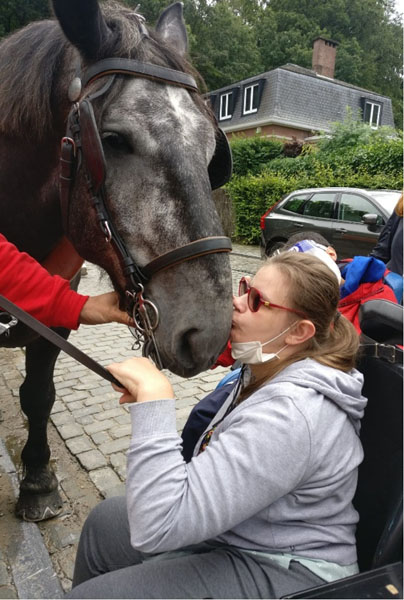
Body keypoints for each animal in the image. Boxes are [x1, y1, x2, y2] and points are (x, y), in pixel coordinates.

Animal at [0, 0, 234, 520]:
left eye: (212, 149)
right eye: (112, 140)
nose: (207, 334)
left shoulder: (56, 311)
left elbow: (38, 395)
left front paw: (38, 480)